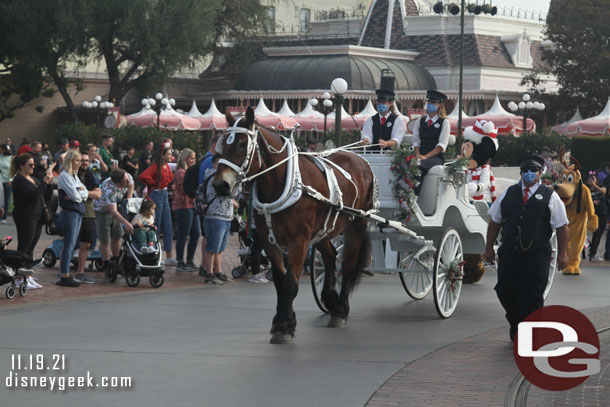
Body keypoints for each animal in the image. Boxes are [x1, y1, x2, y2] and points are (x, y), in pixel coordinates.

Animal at [213, 107, 376, 344]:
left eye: (243, 144)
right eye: (223, 143)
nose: (220, 185)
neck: (283, 182)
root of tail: (360, 159)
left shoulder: (299, 241)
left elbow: (291, 283)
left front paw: (285, 327)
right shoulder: (268, 240)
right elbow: (280, 282)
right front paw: (280, 321)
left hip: (356, 223)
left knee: (347, 265)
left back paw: (340, 311)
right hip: (324, 230)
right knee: (330, 257)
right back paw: (330, 297)